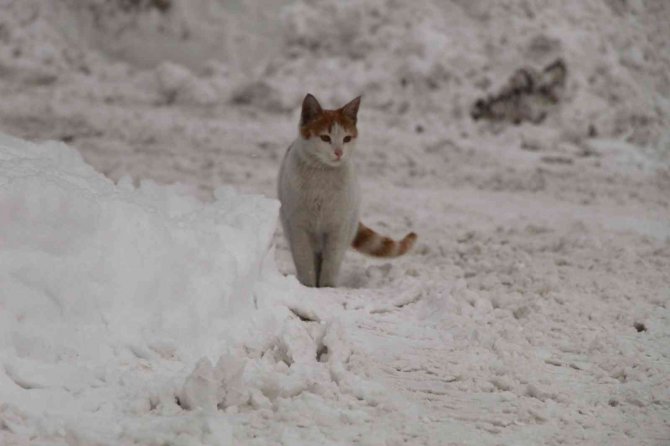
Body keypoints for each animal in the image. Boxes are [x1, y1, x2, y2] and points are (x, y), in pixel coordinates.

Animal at [276, 95, 414, 290]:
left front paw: (327, 288)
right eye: (325, 138)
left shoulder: (337, 228)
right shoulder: (298, 227)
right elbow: (305, 262)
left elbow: (331, 263)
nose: (339, 152)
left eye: (347, 138)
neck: (323, 176)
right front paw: (308, 287)